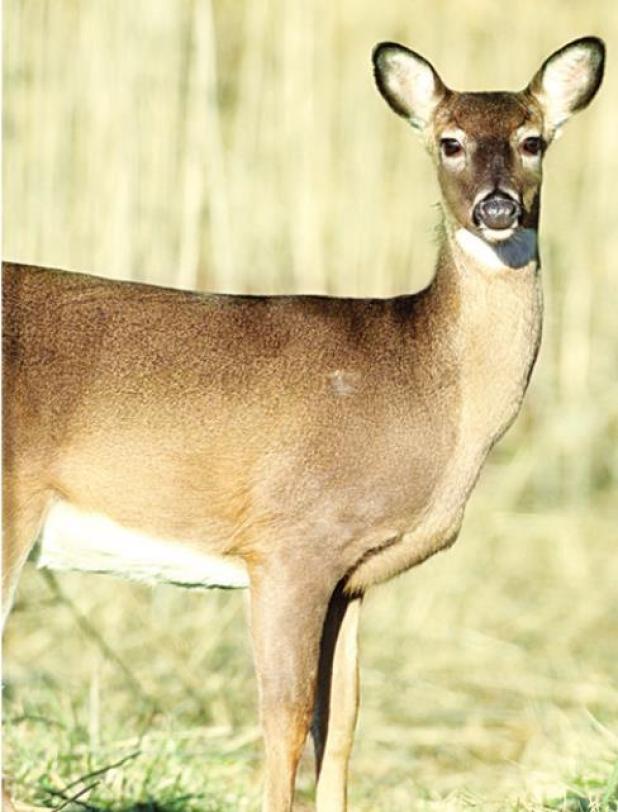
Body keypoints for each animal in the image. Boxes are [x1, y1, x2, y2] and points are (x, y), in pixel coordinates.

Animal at [2, 35, 605, 812]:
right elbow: (284, 721)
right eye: (450, 142)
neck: (424, 384)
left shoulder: (351, 575)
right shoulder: (291, 541)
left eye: (533, 140)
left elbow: (340, 726)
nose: (497, 208)